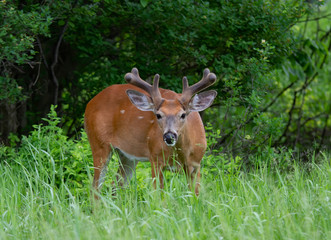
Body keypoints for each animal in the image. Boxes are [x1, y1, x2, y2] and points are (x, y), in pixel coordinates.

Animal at [84, 66, 217, 198]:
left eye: (183, 115)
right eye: (158, 115)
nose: (169, 136)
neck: (182, 155)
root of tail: (90, 103)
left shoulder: (196, 164)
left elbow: (195, 195)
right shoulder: (155, 158)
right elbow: (159, 195)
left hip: (128, 155)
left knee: (117, 184)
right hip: (99, 143)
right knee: (95, 188)